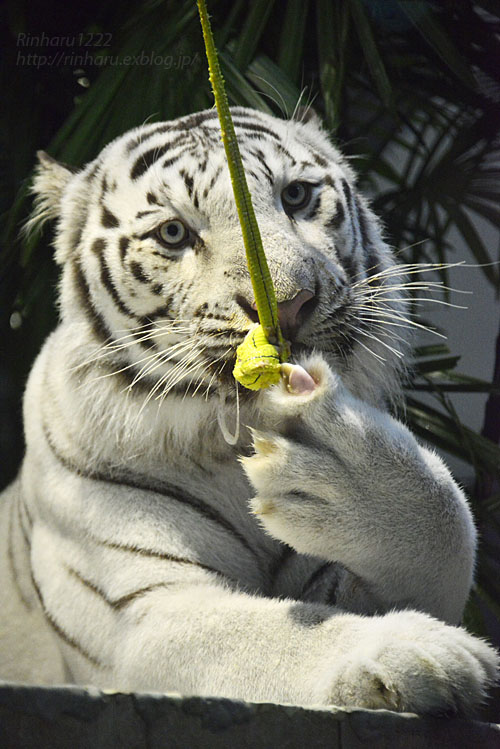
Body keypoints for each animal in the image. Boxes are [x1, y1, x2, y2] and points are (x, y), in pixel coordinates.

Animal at [1, 106, 498, 712]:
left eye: (297, 196)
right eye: (173, 233)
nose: (287, 306)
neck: (230, 441)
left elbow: (448, 529)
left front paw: (347, 468)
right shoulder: (137, 613)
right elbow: (272, 632)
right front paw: (423, 650)